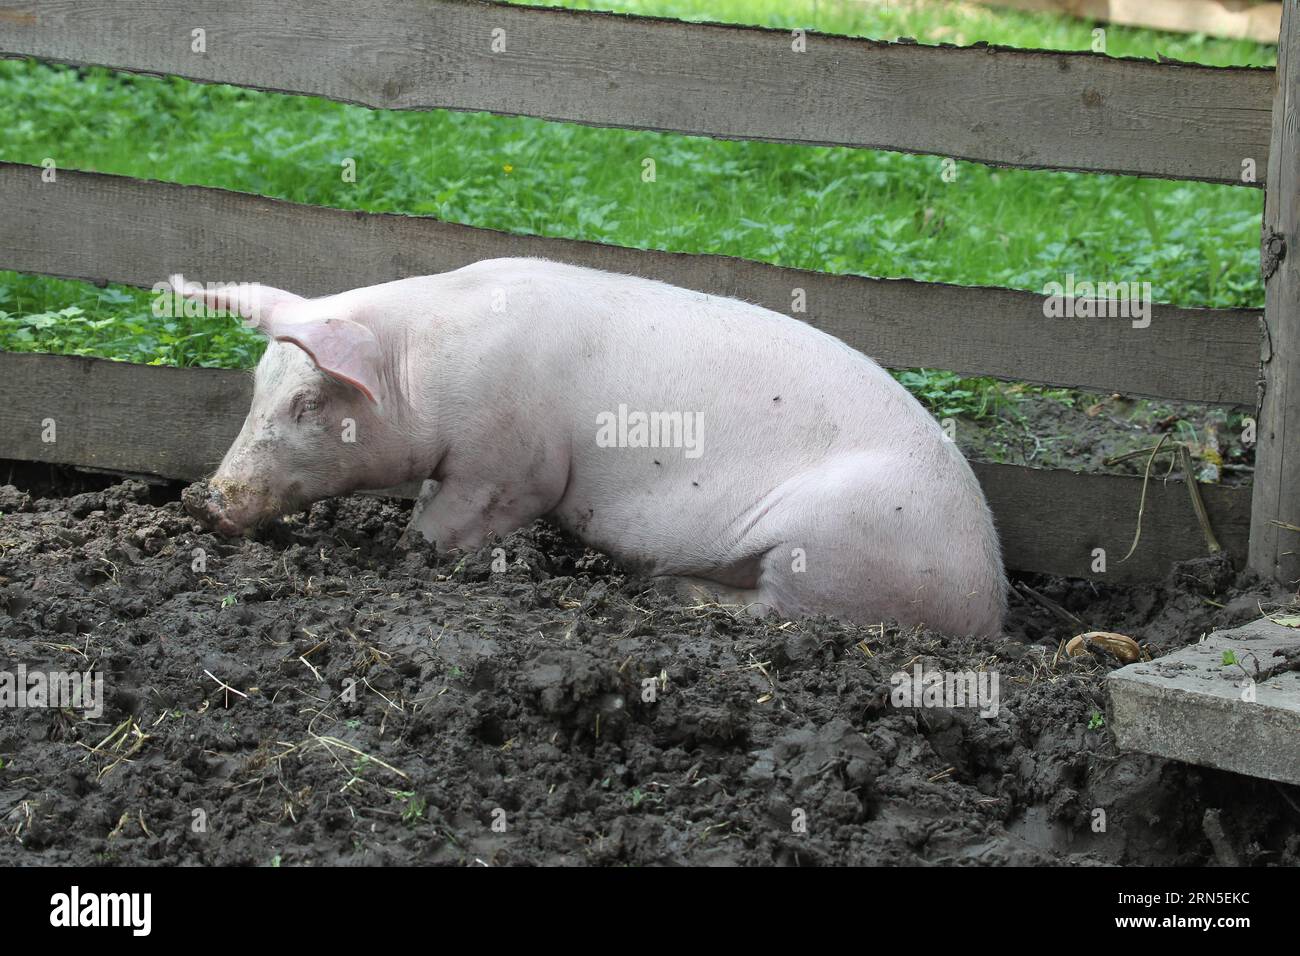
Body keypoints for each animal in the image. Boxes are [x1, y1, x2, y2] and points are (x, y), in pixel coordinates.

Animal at [175, 257, 1003, 639]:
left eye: (310, 403)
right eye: (259, 386)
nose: (204, 501)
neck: (424, 369)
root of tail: (989, 603)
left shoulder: (511, 465)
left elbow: (449, 525)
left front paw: (410, 559)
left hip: (831, 543)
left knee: (780, 613)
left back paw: (671, 591)